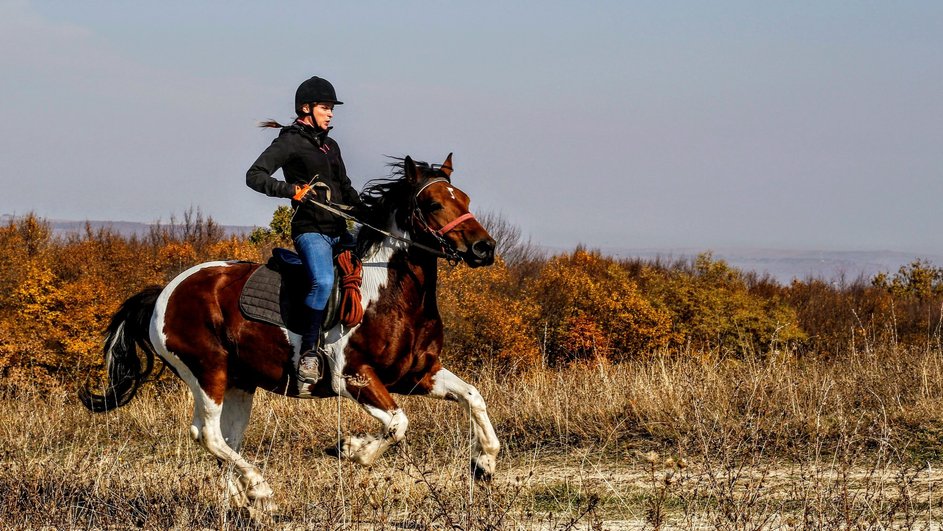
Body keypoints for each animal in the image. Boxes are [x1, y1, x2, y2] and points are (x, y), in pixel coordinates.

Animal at [79, 154, 502, 512]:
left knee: (226, 439)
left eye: (464, 198)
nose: (484, 248)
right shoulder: (355, 377)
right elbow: (398, 424)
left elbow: (473, 397)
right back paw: (260, 490)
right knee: (208, 434)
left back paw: (242, 501)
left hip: (240, 382)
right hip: (207, 371)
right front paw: (351, 449)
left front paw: (483, 463)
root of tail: (165, 293)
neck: (389, 292)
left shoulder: (417, 374)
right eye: (433, 204)